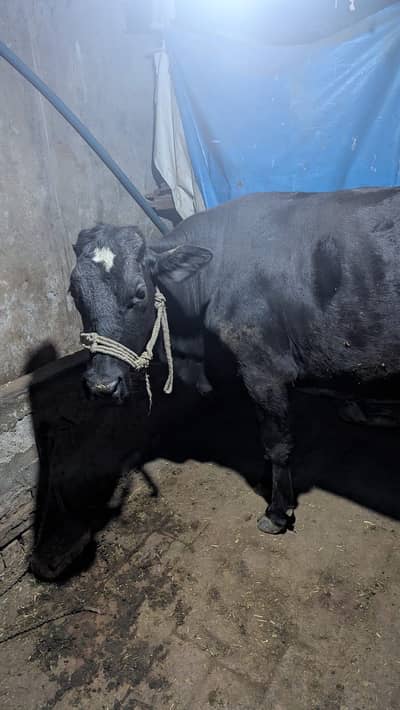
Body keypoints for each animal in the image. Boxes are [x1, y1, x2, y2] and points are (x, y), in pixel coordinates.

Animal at [70, 187, 400, 534]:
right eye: (74, 292)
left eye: (139, 293)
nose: (102, 386)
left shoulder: (263, 369)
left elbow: (276, 444)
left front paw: (277, 512)